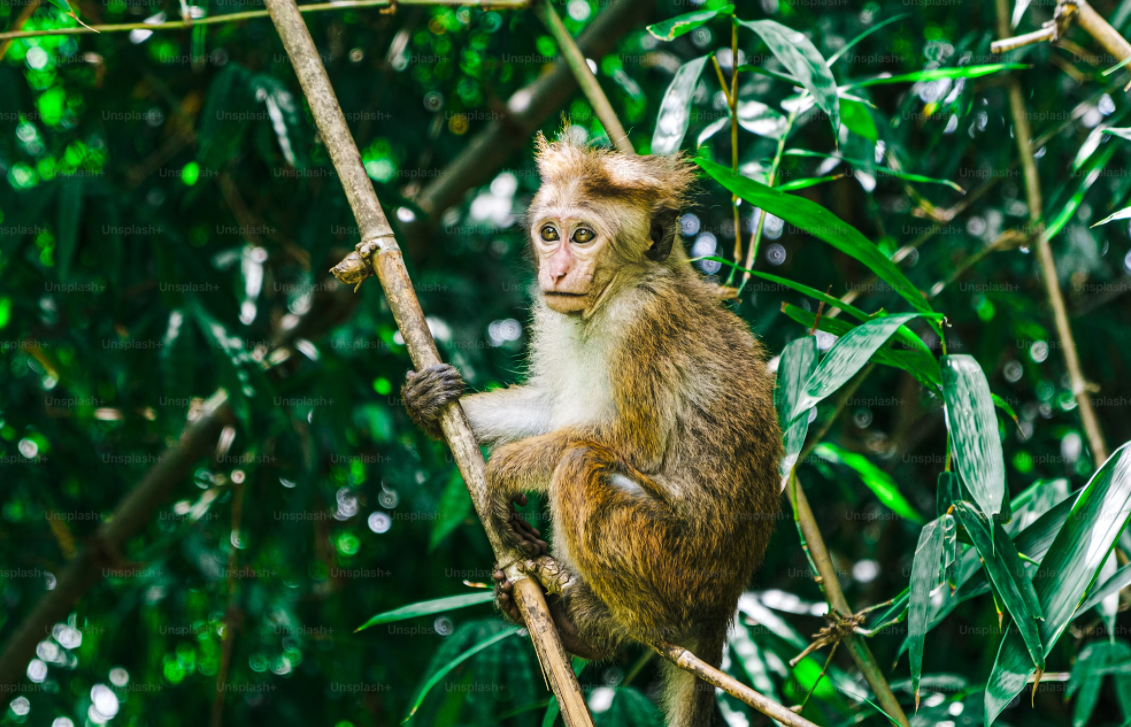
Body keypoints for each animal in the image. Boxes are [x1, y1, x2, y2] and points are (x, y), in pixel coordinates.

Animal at [402, 132, 782, 727]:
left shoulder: (642, 321)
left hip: (679, 564)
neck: (614, 292)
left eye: (583, 236)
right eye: (549, 233)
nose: (556, 272)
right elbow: (550, 407)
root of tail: (723, 604)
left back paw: (617, 625)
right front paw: (430, 403)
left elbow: (632, 444)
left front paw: (502, 470)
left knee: (580, 467)